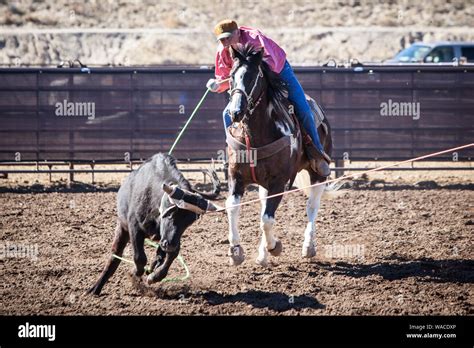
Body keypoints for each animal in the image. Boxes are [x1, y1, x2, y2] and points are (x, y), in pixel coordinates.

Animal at [87, 154, 220, 294]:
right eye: (171, 212)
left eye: (189, 221)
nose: (170, 244)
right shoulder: (134, 227)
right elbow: (140, 258)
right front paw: (134, 272)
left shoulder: (169, 238)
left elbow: (171, 254)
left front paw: (154, 276)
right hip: (122, 228)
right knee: (115, 256)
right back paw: (95, 288)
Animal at [224, 44, 332, 266]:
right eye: (231, 76)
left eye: (252, 76)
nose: (235, 112)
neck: (255, 136)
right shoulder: (236, 177)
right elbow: (233, 207)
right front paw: (236, 251)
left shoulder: (280, 181)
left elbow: (267, 219)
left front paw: (275, 246)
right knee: (264, 208)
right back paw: (262, 255)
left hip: (318, 174)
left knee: (311, 206)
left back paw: (308, 247)